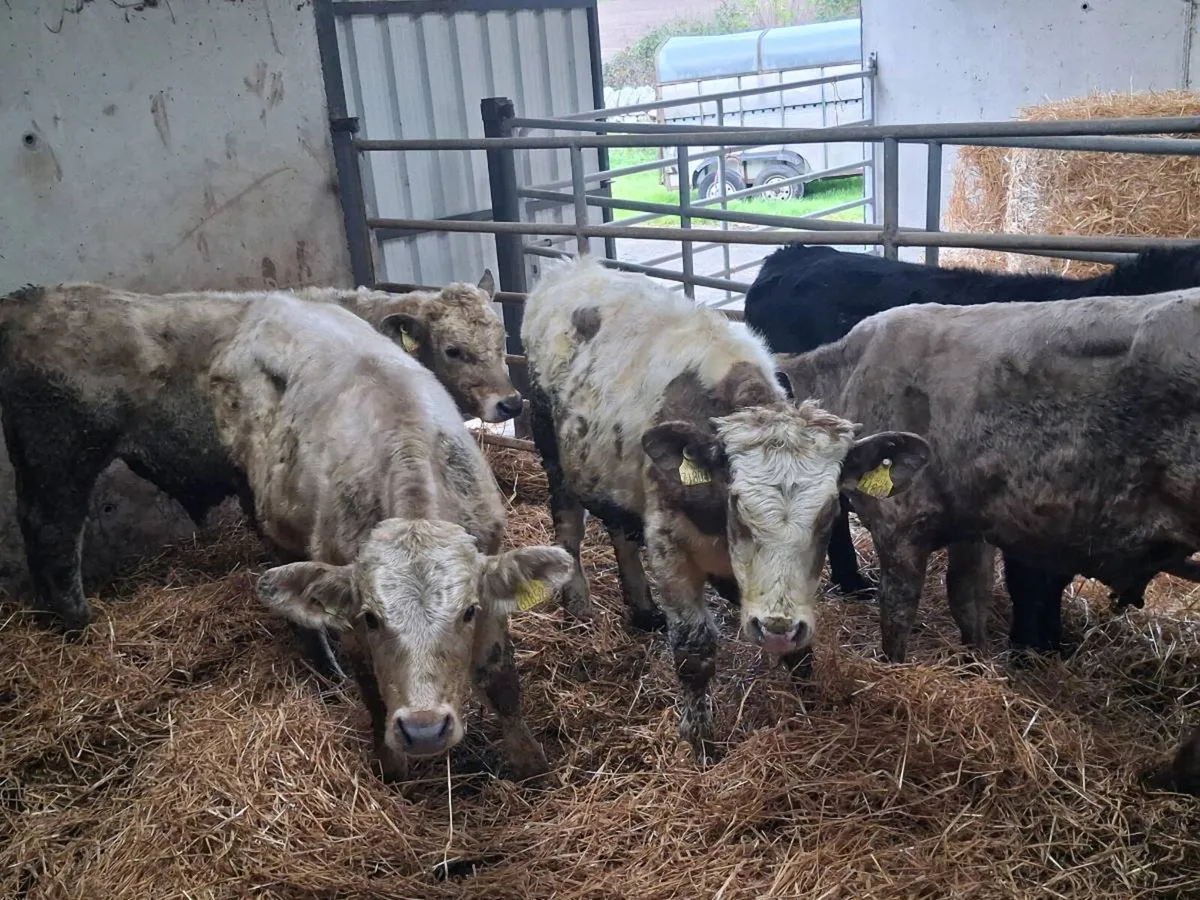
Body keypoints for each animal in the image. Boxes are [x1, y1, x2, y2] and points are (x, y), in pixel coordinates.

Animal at [0, 283, 571, 781]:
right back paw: (81, 625)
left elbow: (500, 676)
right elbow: (371, 685)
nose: (510, 404)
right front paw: (391, 767)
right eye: (454, 349)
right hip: (64, 459)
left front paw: (530, 766)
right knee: (53, 536)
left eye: (500, 341)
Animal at [521, 256, 930, 761]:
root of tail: (568, 268)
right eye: (738, 504)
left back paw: (642, 609)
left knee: (620, 532)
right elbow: (694, 651)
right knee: (570, 531)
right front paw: (699, 740)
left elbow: (798, 646)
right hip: (553, 453)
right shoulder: (670, 545)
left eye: (830, 516)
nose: (775, 628)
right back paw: (578, 606)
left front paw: (808, 705)